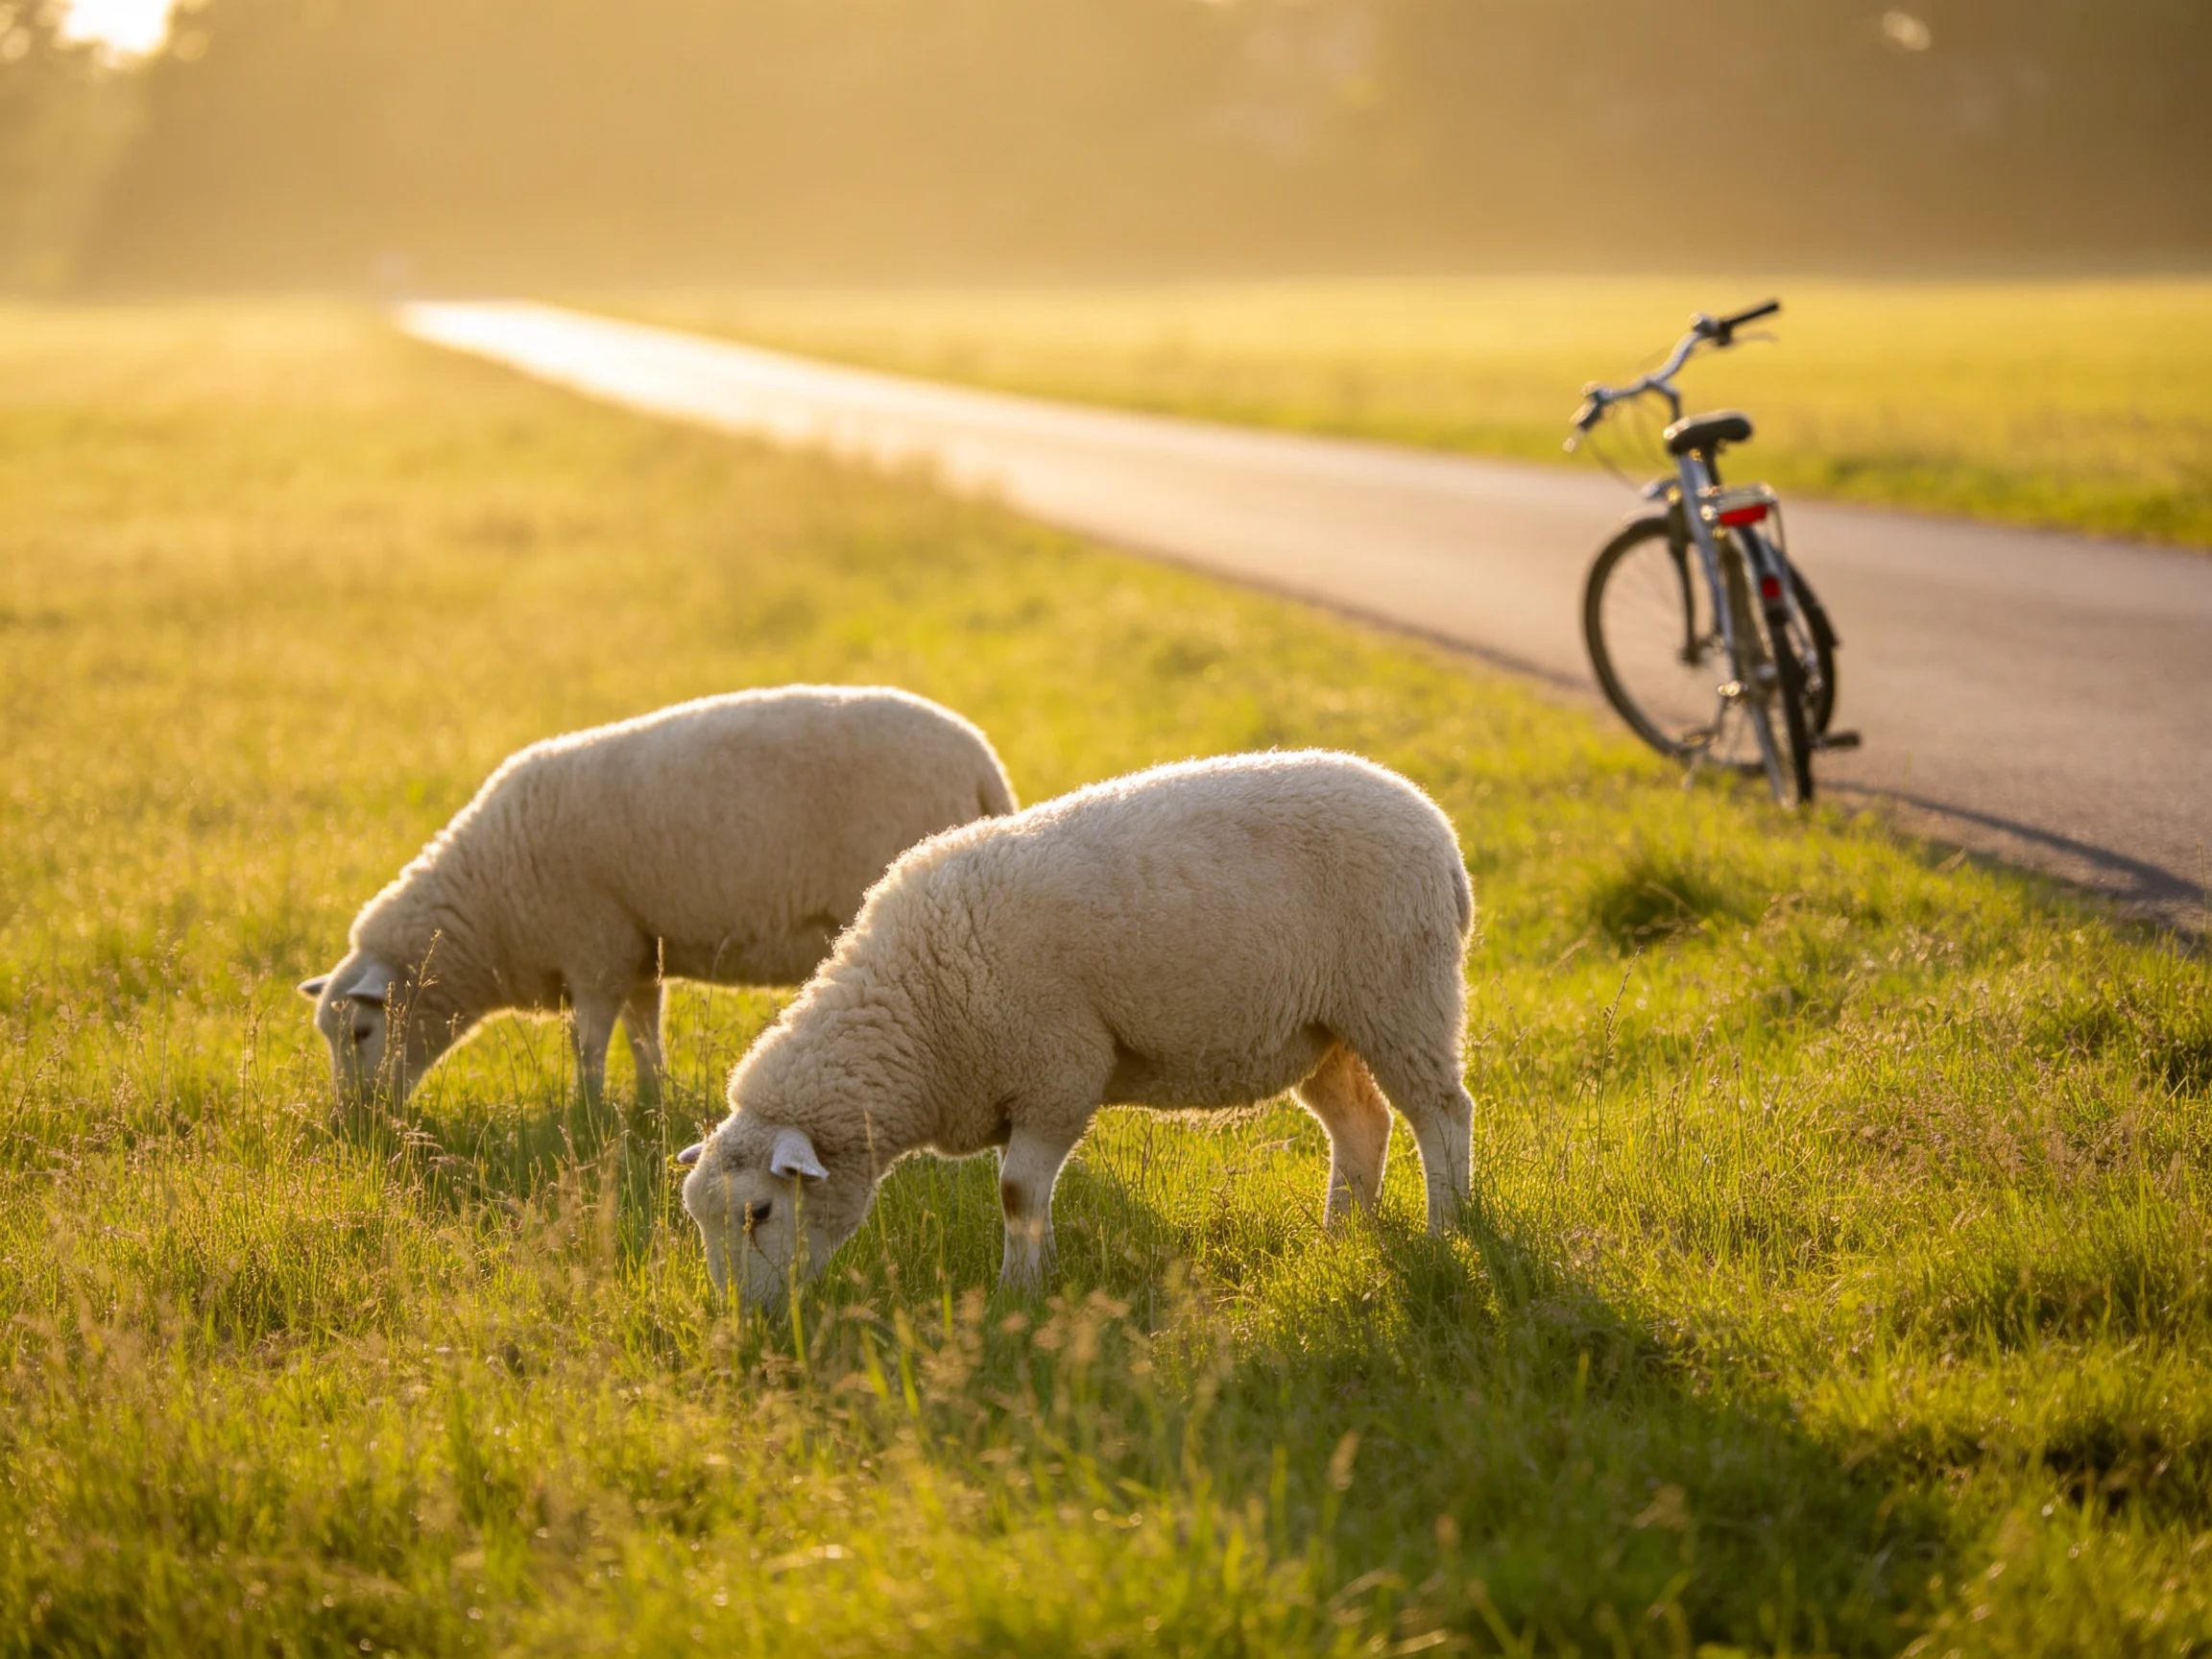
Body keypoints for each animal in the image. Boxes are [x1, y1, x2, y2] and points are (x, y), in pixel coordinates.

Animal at [298, 686, 1016, 1109]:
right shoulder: (641, 953)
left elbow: (587, 1044)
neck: (488, 905)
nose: (352, 1125)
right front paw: (651, 1101)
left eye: (361, 1031)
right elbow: (646, 1037)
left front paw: (587, 1111)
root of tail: (982, 761)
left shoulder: (594, 952)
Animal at [678, 749, 1475, 1304]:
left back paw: (1449, 1230)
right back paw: (1343, 1235)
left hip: (1402, 992)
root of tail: (1438, 829)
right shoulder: (1022, 1085)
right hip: (1323, 1028)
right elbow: (1030, 1199)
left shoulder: (1057, 1074)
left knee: (1442, 1113)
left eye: (757, 1212)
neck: (918, 1008)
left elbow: (1016, 1193)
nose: (743, 1319)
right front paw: (1045, 1271)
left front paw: (1017, 1292)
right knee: (1362, 1123)